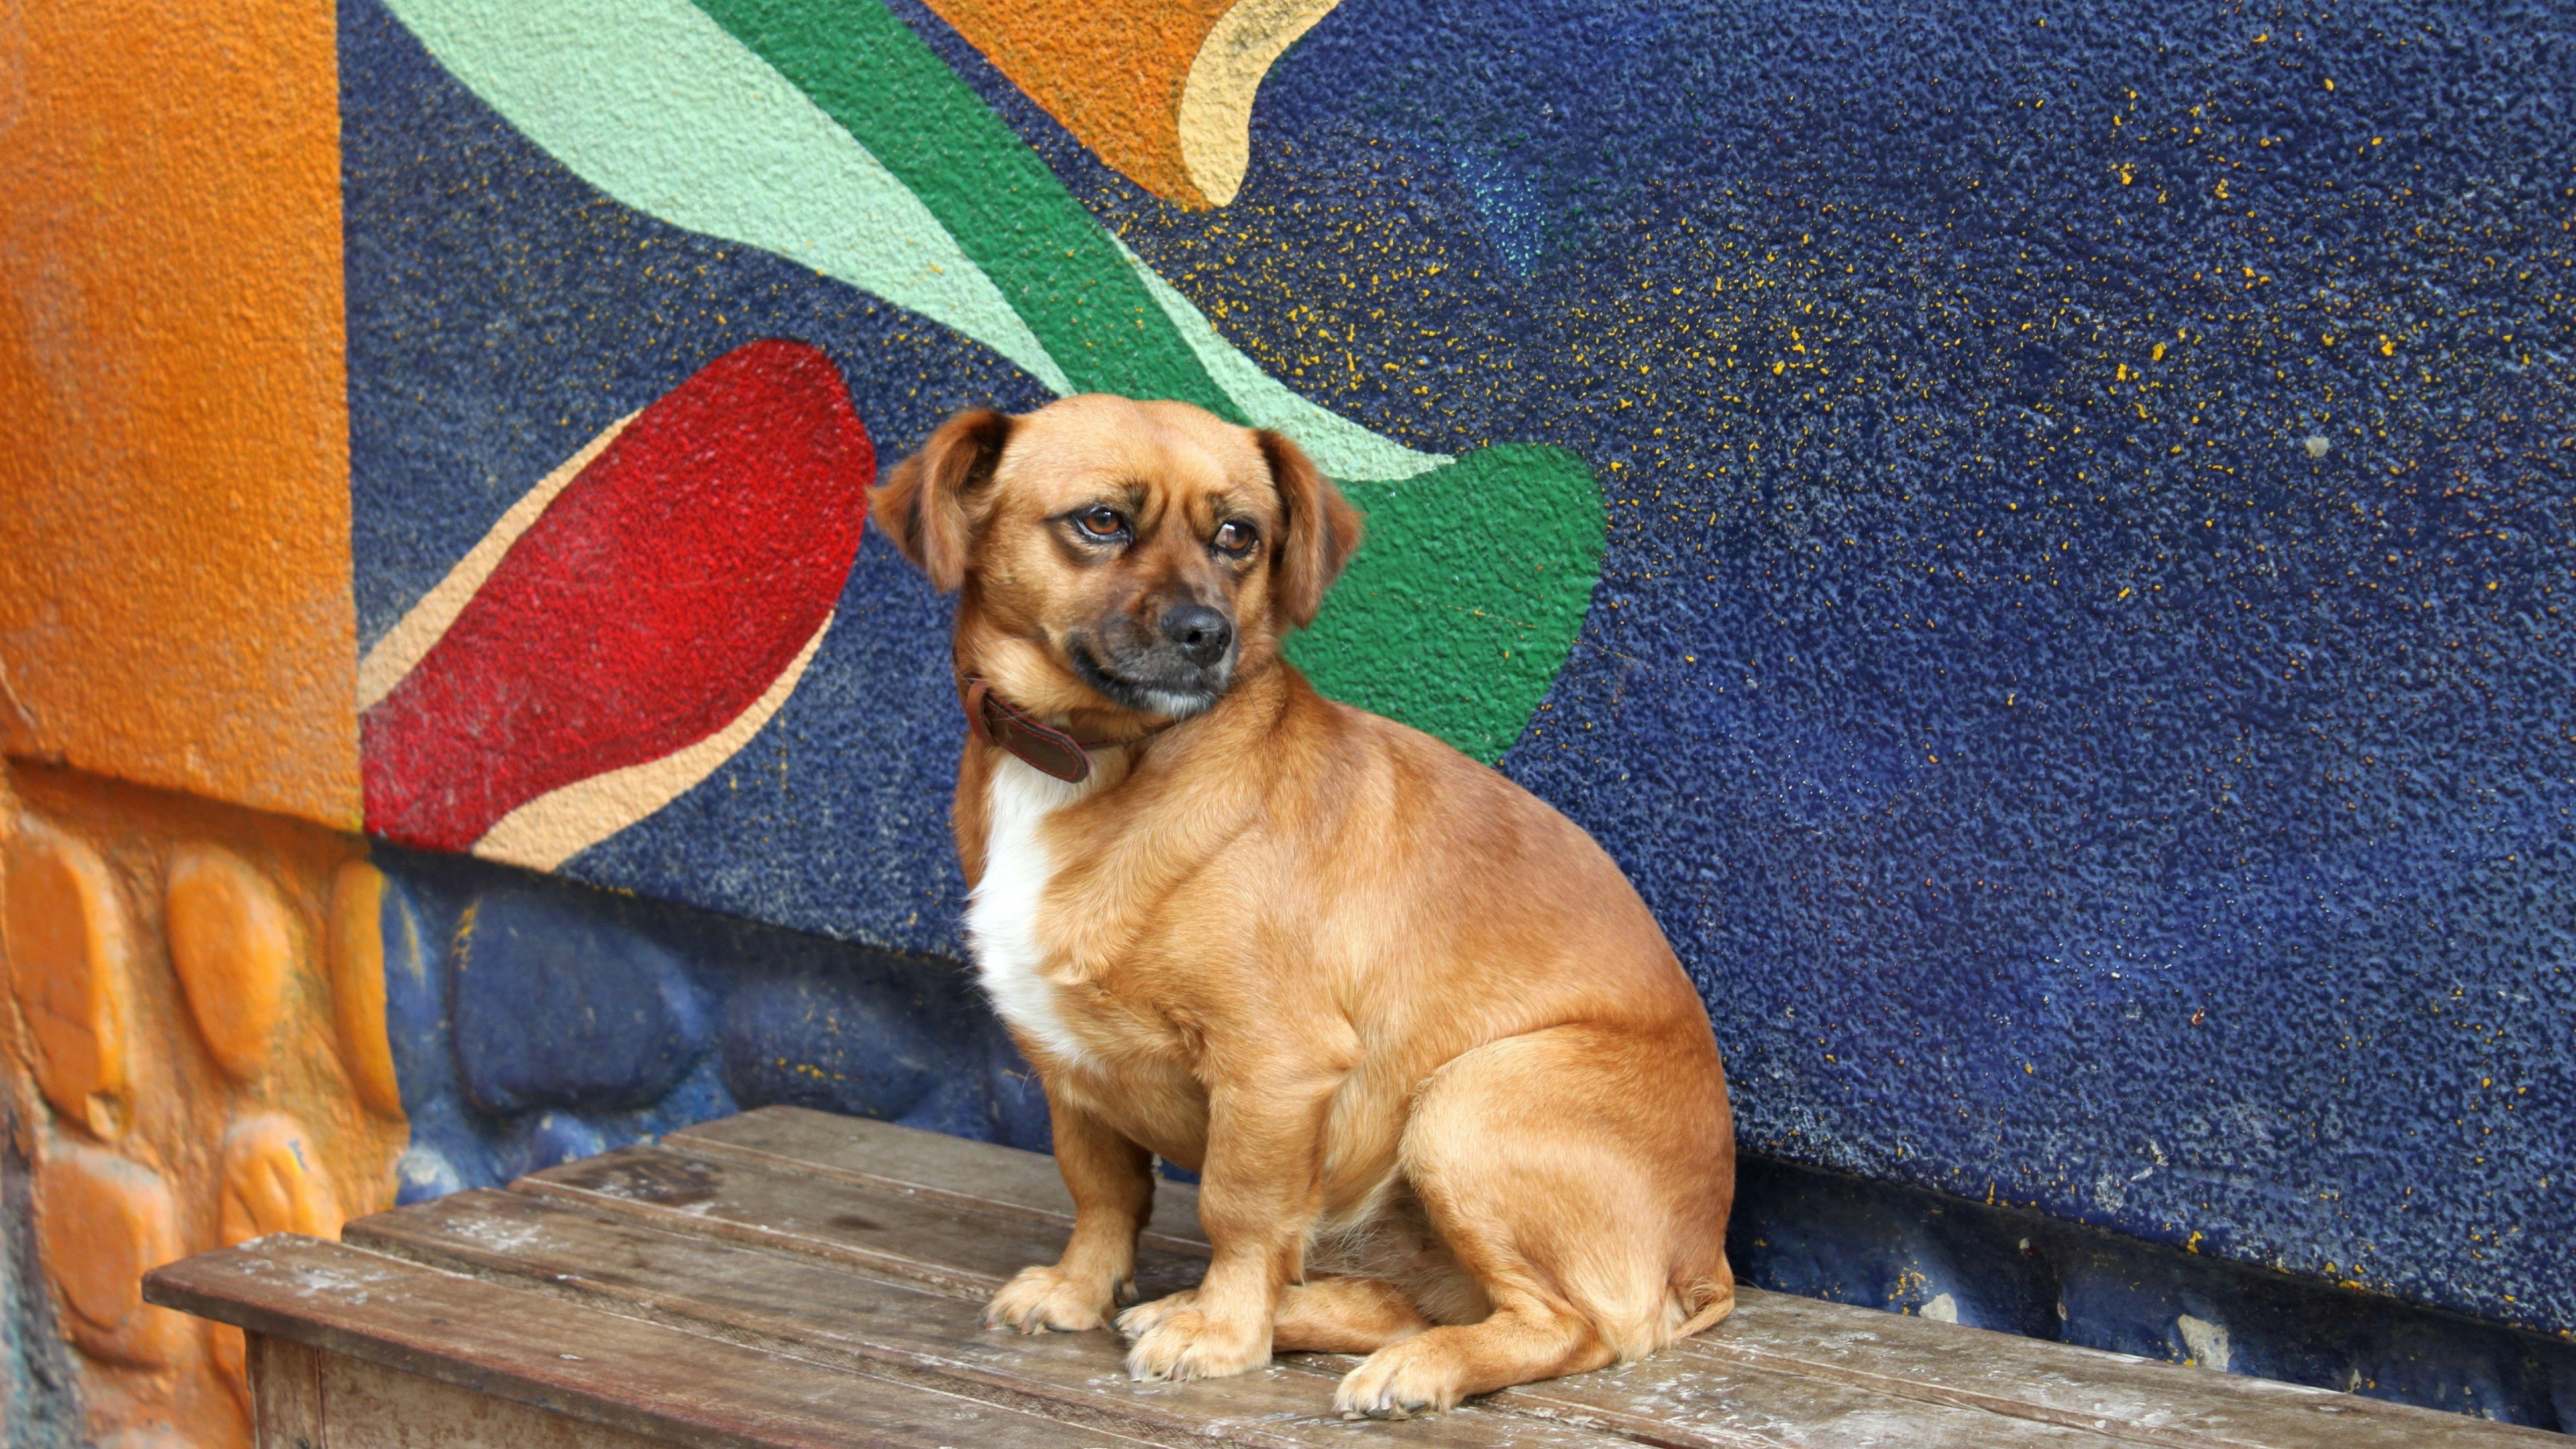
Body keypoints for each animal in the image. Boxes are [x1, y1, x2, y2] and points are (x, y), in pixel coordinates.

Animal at [875, 394, 1741, 1413]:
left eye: (1239, 537)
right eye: (1101, 521)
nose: (1208, 632)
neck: (1101, 759)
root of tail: (1708, 1257)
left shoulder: (1274, 1068)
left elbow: (1239, 1210)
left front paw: (1222, 1332)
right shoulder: (1068, 1068)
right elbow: (1103, 1192)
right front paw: (1082, 1292)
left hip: (1468, 1102)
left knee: (1575, 1326)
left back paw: (1403, 1364)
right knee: (1411, 1302)